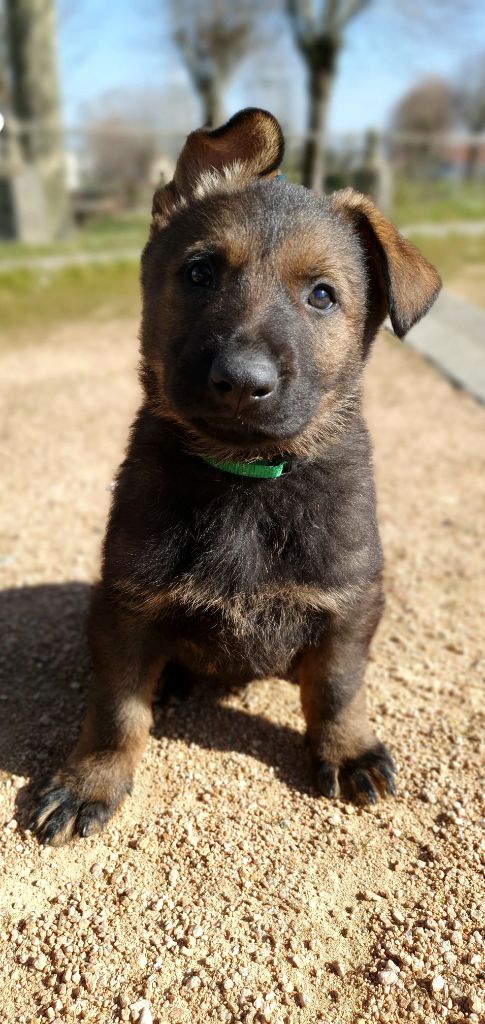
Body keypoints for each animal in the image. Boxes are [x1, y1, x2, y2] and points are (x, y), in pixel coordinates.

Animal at [29, 110, 439, 847]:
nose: (242, 380)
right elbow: (115, 710)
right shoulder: (126, 608)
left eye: (322, 296)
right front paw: (90, 778)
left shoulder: (348, 603)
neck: (245, 477)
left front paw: (348, 750)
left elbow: (336, 688)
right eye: (199, 272)